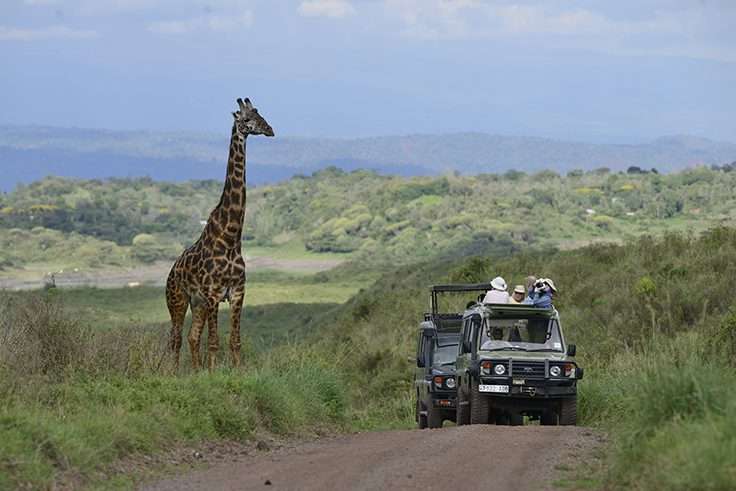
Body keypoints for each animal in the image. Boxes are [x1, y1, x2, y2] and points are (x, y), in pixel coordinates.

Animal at [165, 98, 274, 370]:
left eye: (261, 115)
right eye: (246, 119)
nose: (270, 130)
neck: (231, 237)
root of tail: (171, 271)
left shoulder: (237, 292)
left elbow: (235, 341)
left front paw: (234, 371)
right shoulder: (214, 294)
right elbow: (214, 342)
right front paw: (212, 373)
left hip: (198, 303)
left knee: (192, 337)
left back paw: (195, 371)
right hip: (177, 299)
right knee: (175, 339)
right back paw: (174, 373)